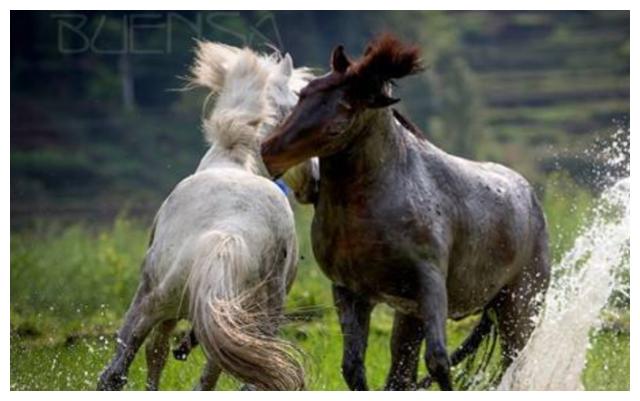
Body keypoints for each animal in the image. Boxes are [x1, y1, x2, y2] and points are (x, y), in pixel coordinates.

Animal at [97, 41, 313, 391]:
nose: (314, 181)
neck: (233, 158)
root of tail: (227, 235)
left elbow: (154, 354)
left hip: (157, 301)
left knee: (121, 365)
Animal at [261, 34, 551, 390]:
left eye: (338, 125)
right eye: (304, 94)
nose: (268, 152)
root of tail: (532, 199)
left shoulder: (430, 285)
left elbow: (438, 360)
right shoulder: (351, 292)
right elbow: (354, 368)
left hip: (517, 307)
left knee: (514, 362)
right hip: (412, 315)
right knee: (402, 371)